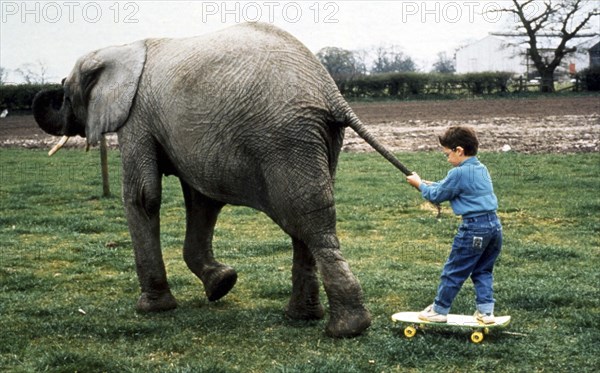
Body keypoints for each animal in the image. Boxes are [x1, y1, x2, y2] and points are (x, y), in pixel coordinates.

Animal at [34, 22, 408, 338]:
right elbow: (202, 200)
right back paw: (307, 318)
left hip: (283, 139)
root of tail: (332, 93)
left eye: (66, 93)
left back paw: (345, 329)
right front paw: (222, 284)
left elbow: (144, 195)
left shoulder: (136, 116)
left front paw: (152, 308)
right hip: (316, 139)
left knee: (306, 219)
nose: (49, 88)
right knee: (308, 218)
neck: (123, 48)